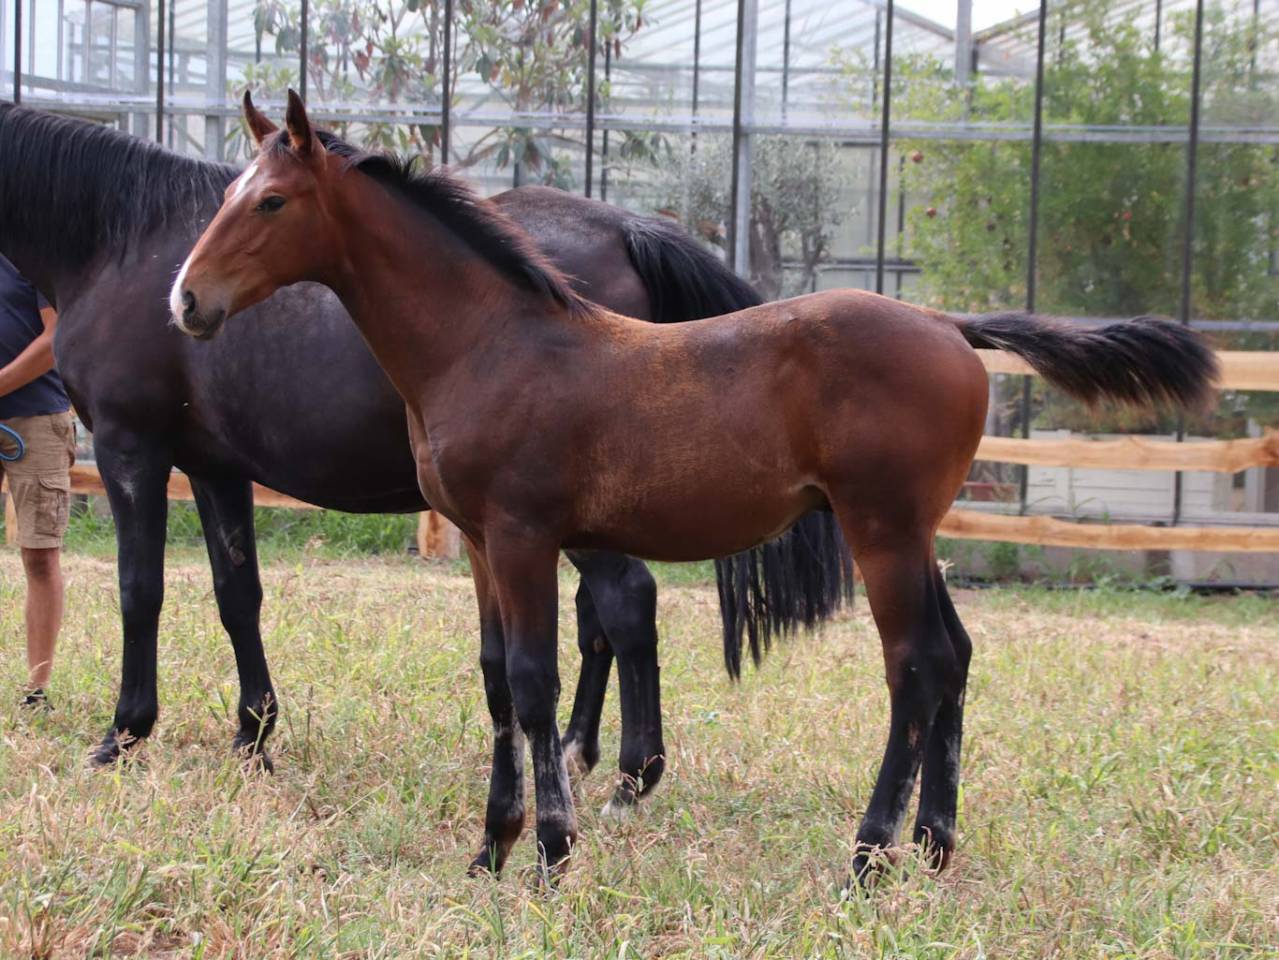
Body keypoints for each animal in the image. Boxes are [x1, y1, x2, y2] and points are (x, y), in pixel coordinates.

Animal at [0, 100, 851, 808]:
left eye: (270, 202)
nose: (185, 302)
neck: (117, 242)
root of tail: (630, 229)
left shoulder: (130, 448)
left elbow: (139, 591)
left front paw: (123, 735)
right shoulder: (214, 466)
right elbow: (236, 595)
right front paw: (252, 736)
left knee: (624, 603)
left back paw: (623, 774)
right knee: (597, 617)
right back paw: (578, 750)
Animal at [172, 92, 1217, 881]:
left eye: (271, 203)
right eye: (232, 192)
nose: (186, 300)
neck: (490, 340)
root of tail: (949, 327)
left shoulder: (521, 534)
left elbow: (535, 681)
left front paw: (549, 852)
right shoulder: (474, 539)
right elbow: (496, 683)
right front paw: (489, 851)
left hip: (880, 529)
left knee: (914, 664)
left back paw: (868, 855)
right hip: (915, 535)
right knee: (954, 655)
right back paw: (931, 845)